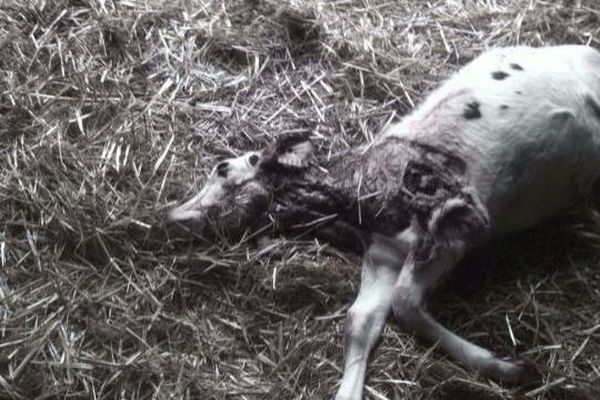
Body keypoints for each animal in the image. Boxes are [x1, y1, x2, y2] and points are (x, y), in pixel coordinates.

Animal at [166, 45, 600, 400]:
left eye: (222, 169)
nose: (170, 217)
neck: (355, 205)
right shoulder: (384, 256)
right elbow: (360, 320)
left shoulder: (459, 218)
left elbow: (405, 302)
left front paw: (508, 366)